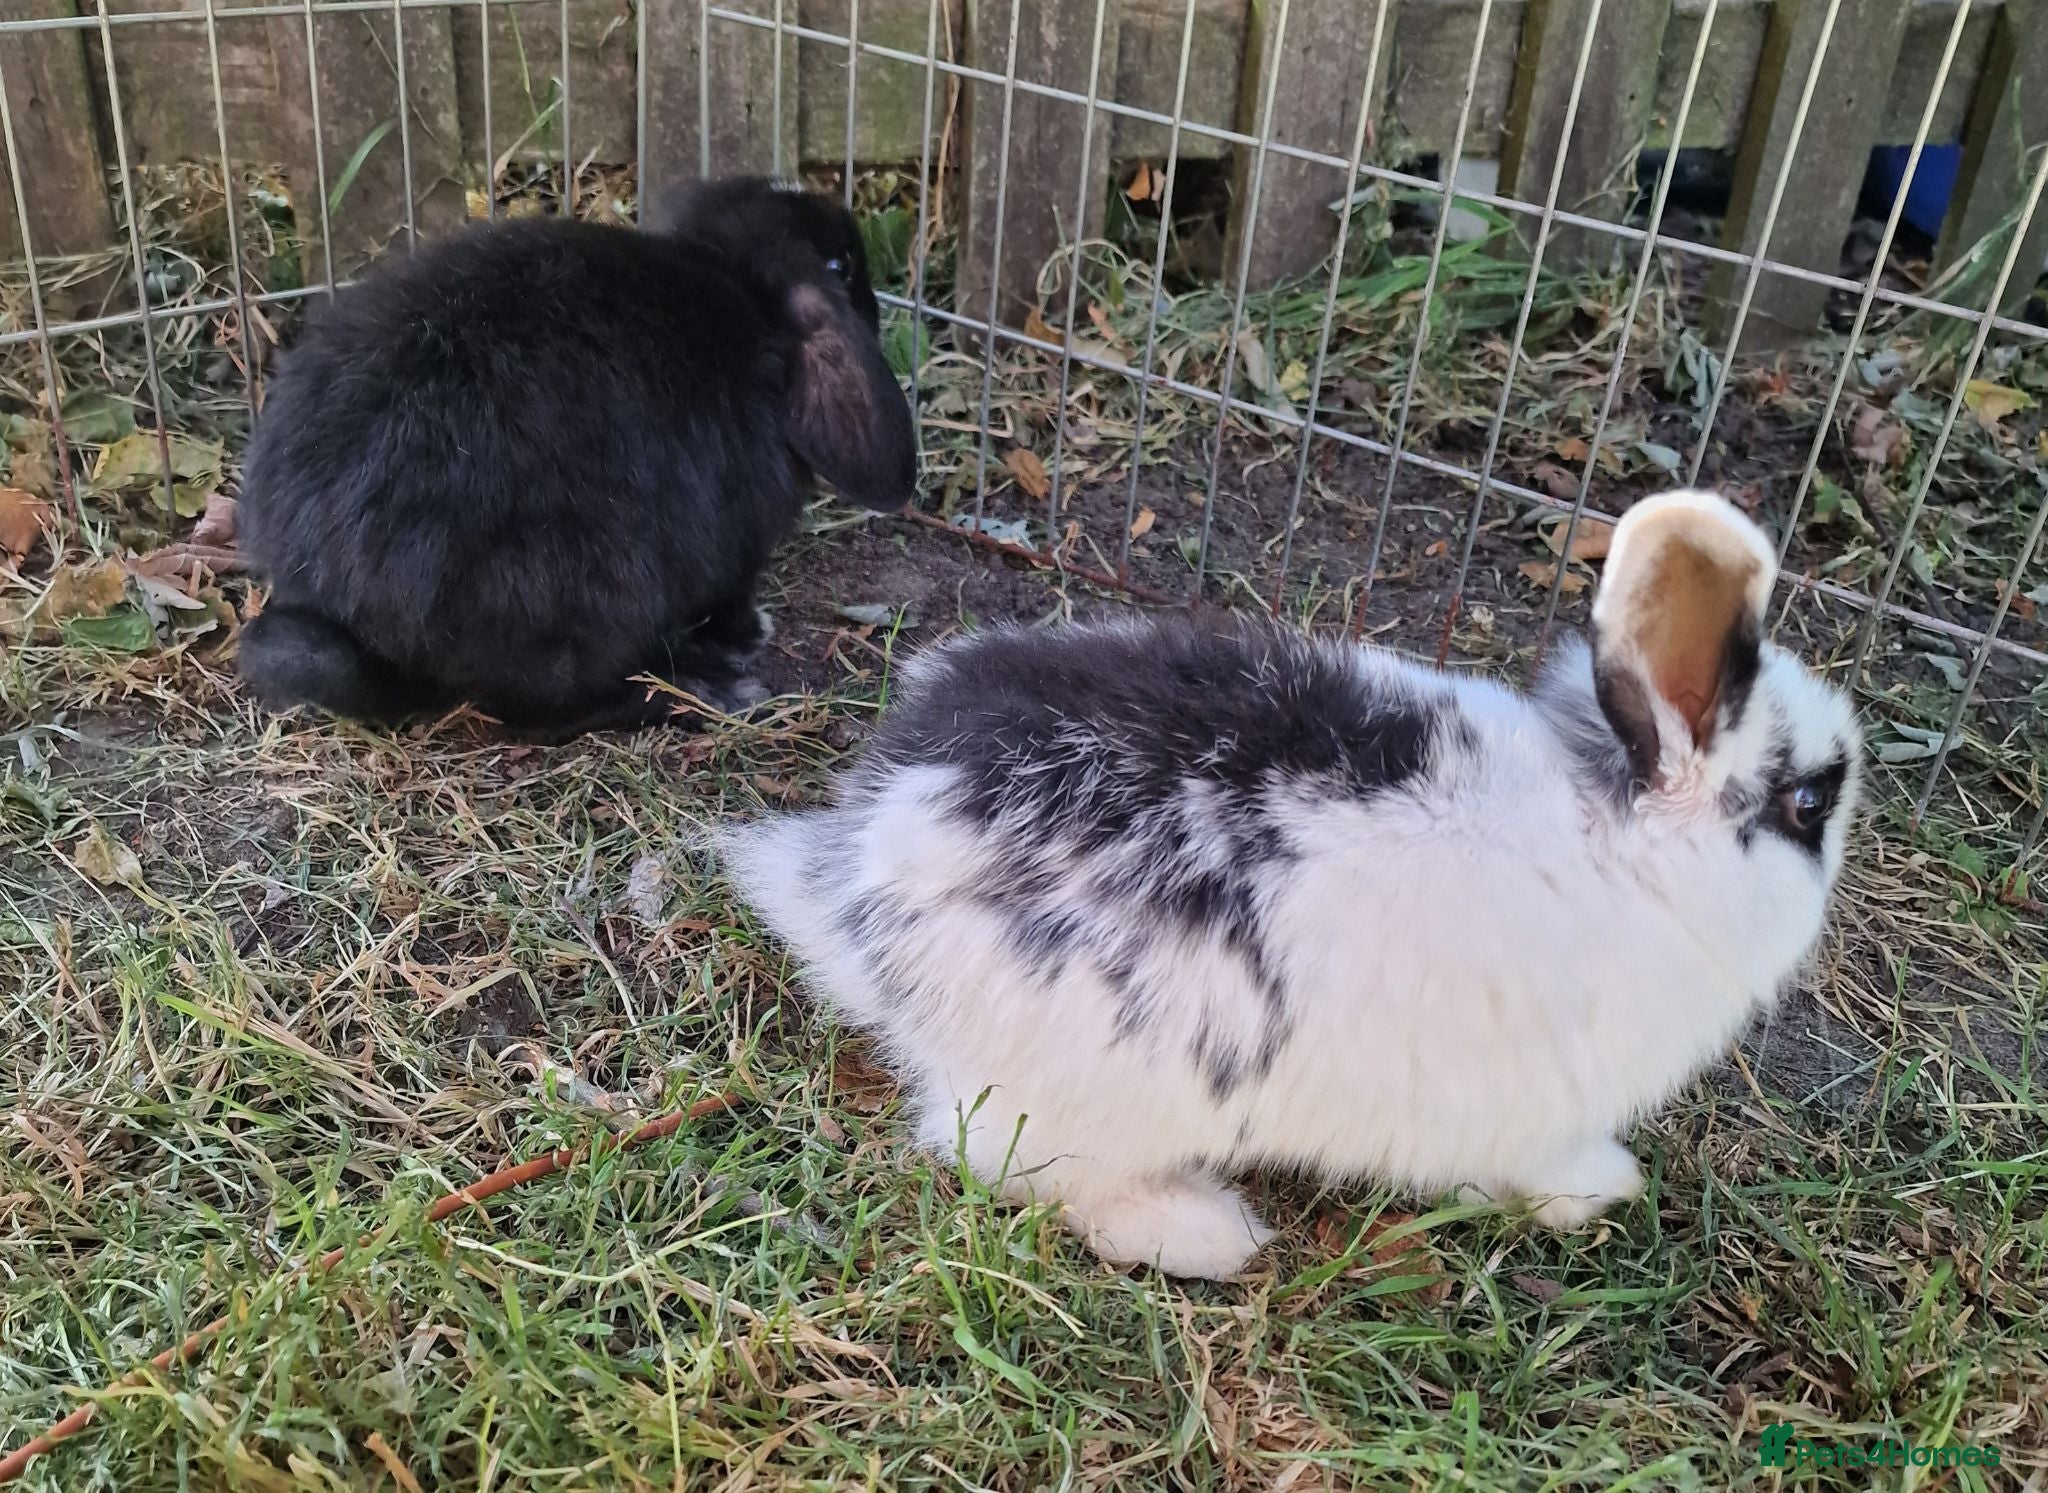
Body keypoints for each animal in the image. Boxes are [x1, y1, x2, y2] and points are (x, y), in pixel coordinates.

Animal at [236, 176, 917, 740]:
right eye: (839, 265)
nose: (875, 304)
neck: (740, 291)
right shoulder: (738, 545)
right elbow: (728, 599)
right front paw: (749, 635)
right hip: (583, 599)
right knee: (537, 716)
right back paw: (699, 692)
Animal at [719, 490, 1865, 1279]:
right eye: (1810, 800)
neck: (1619, 850)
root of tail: (868, 868)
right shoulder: (1525, 1108)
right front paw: (1603, 1186)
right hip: (1094, 1093)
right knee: (1015, 1165)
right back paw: (1206, 1230)